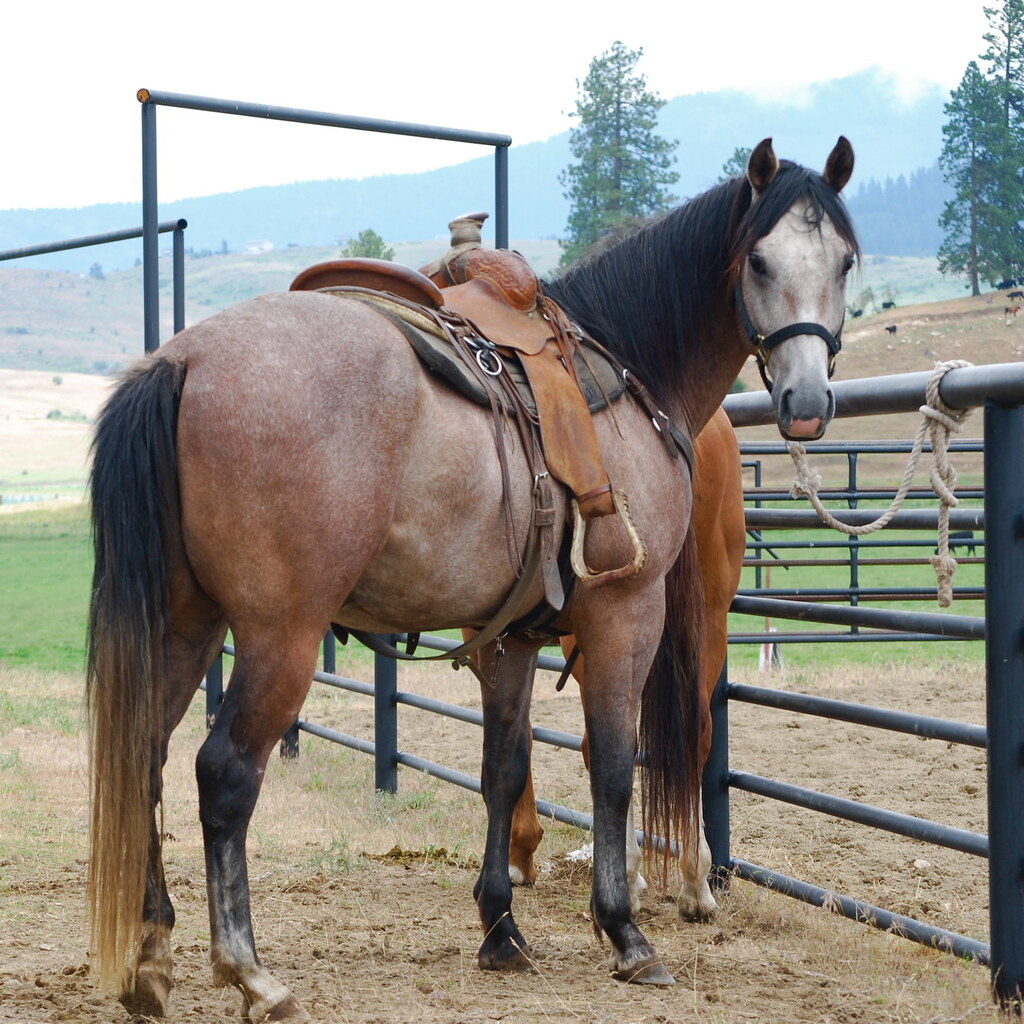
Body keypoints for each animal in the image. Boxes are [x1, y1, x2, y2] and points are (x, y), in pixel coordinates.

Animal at [504, 406, 746, 923]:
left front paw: (520, 852)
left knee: (603, 745)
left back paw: (629, 877)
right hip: (709, 621)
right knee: (696, 733)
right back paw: (695, 883)